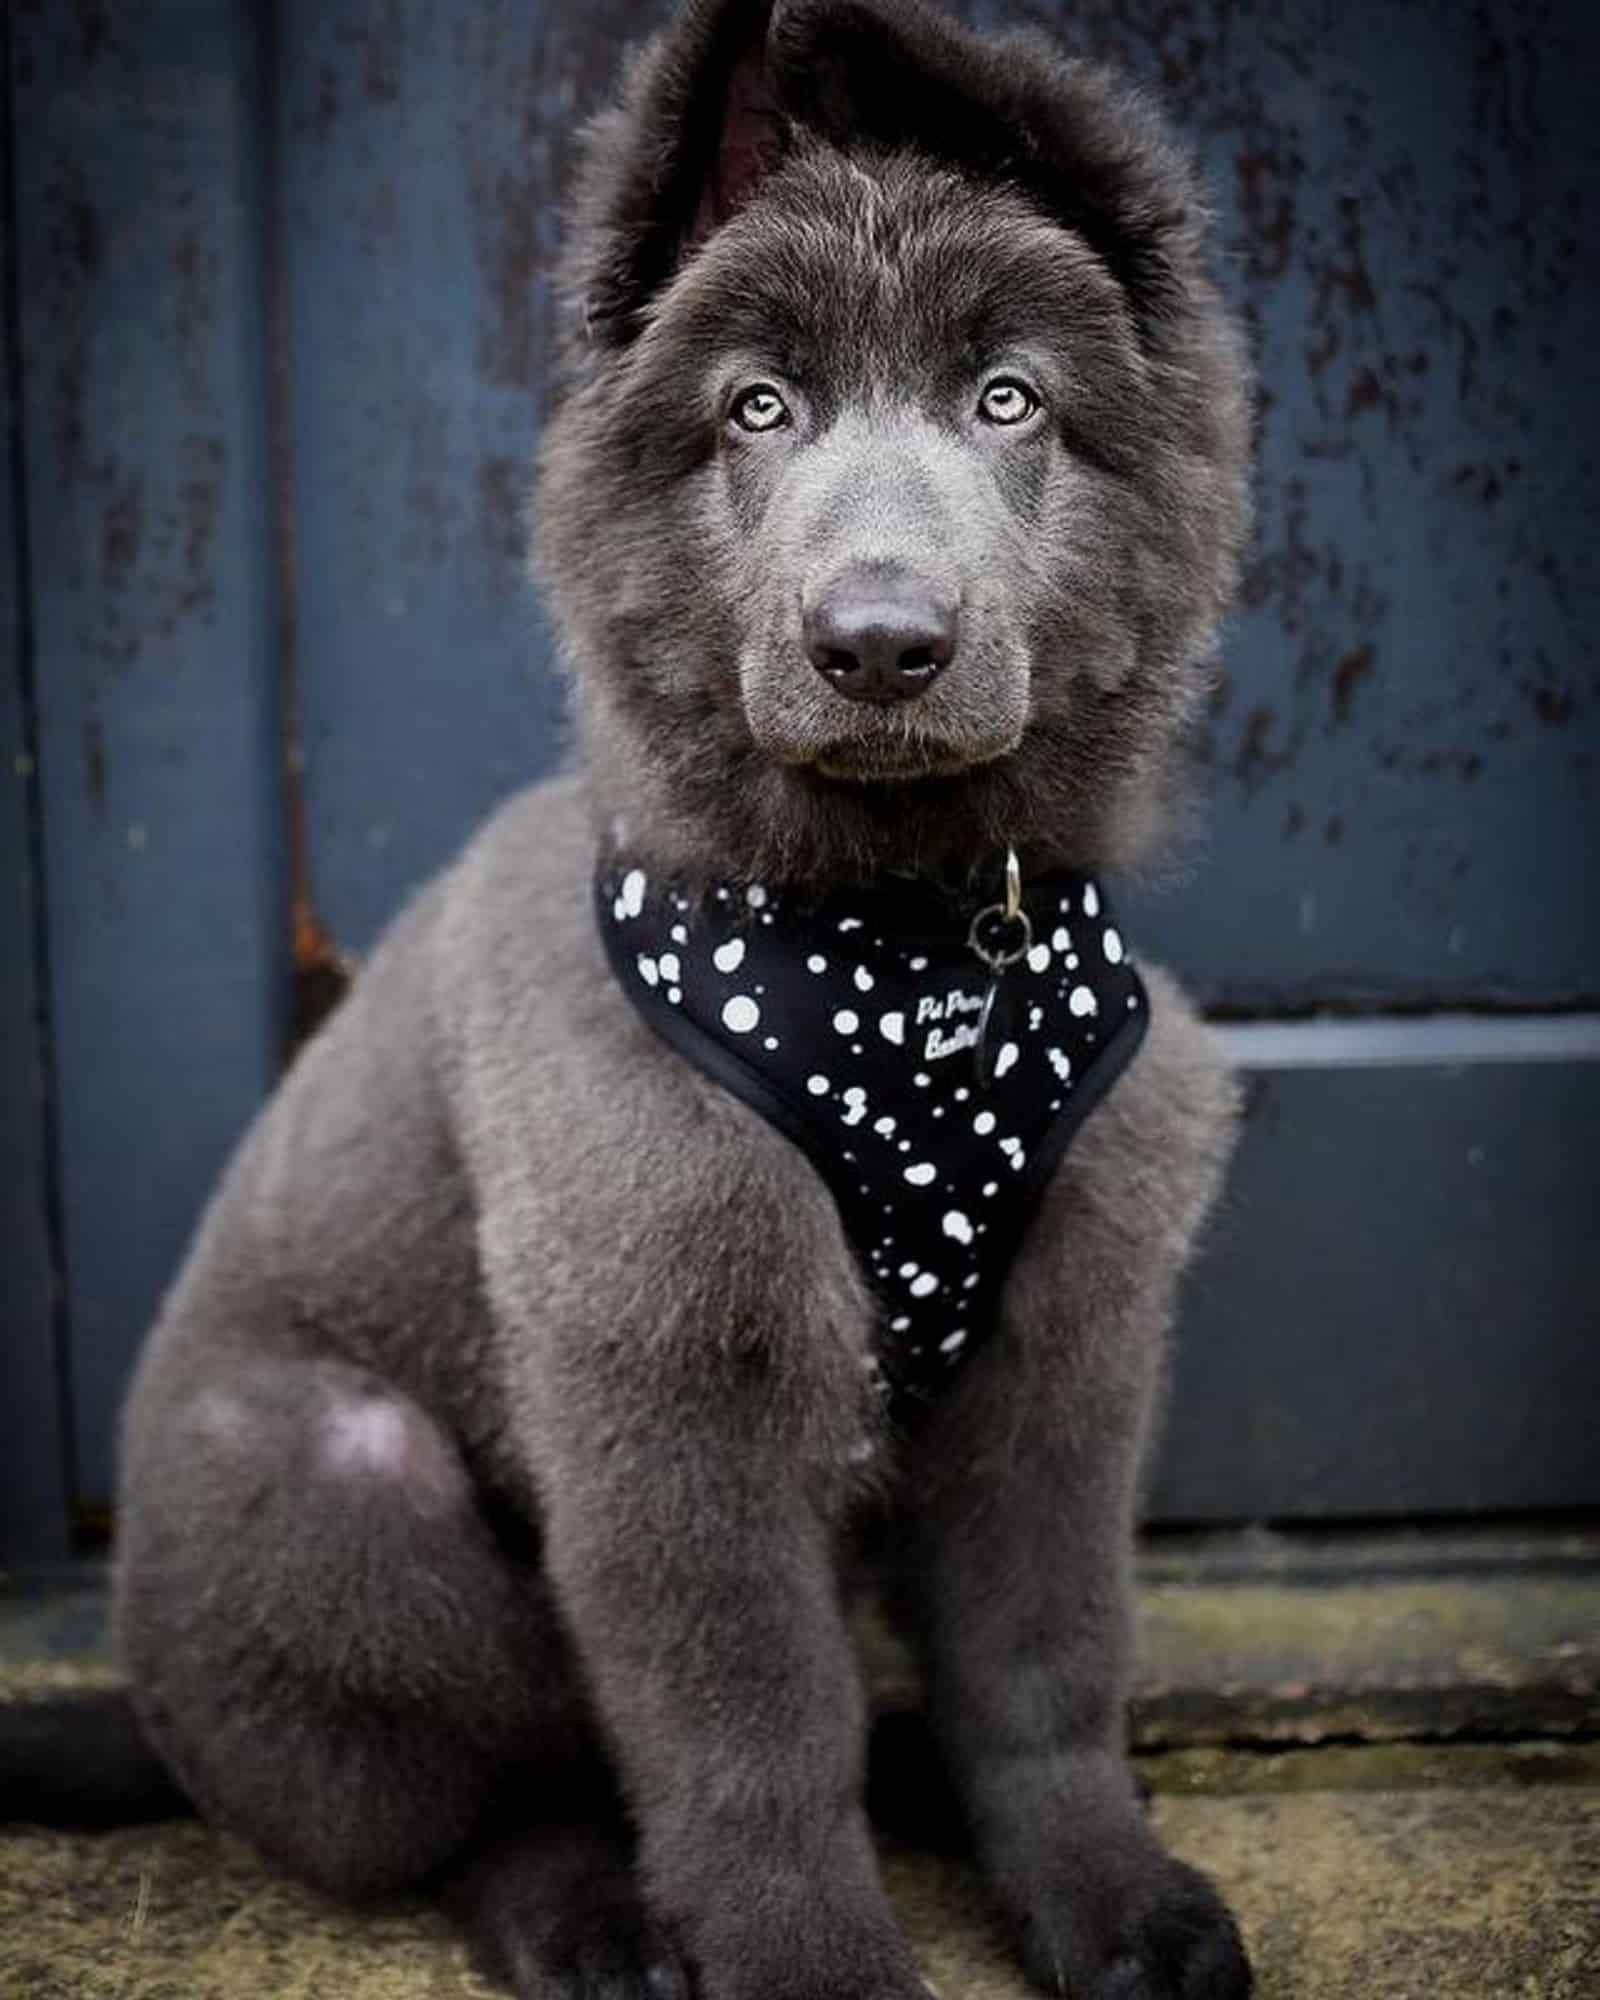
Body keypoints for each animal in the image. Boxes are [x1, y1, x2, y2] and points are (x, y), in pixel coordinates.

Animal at [3, 3, 1248, 2000]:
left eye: (1009, 401)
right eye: (759, 409)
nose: (880, 642)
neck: (901, 942)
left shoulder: (1069, 1344)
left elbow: (1046, 1666)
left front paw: (1105, 1895)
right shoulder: (672, 1380)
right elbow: (751, 1742)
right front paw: (814, 1966)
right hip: (329, 1473)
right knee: (494, 1802)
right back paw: (590, 1922)